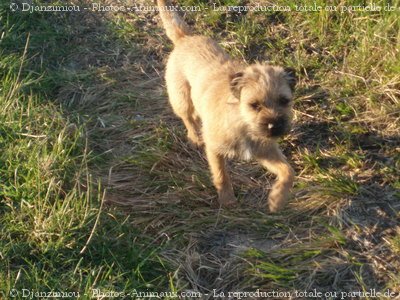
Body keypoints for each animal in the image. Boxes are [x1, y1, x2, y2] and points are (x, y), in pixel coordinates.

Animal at [158, 0, 296, 212]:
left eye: (284, 101)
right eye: (254, 105)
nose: (275, 126)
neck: (242, 122)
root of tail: (185, 38)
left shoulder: (265, 150)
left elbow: (288, 171)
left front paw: (278, 198)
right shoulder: (215, 150)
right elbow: (221, 175)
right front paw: (227, 199)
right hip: (181, 98)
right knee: (188, 117)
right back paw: (194, 136)